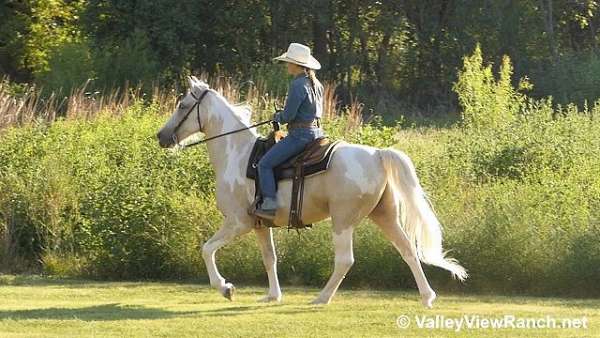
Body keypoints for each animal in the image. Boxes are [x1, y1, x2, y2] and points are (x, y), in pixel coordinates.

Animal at [157, 76, 466, 306]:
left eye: (183, 104)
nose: (162, 137)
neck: (238, 154)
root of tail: (377, 154)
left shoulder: (238, 222)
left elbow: (207, 249)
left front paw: (225, 288)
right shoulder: (259, 224)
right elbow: (270, 259)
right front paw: (272, 295)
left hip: (342, 221)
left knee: (345, 260)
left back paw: (321, 298)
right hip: (385, 215)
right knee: (408, 250)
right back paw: (427, 297)